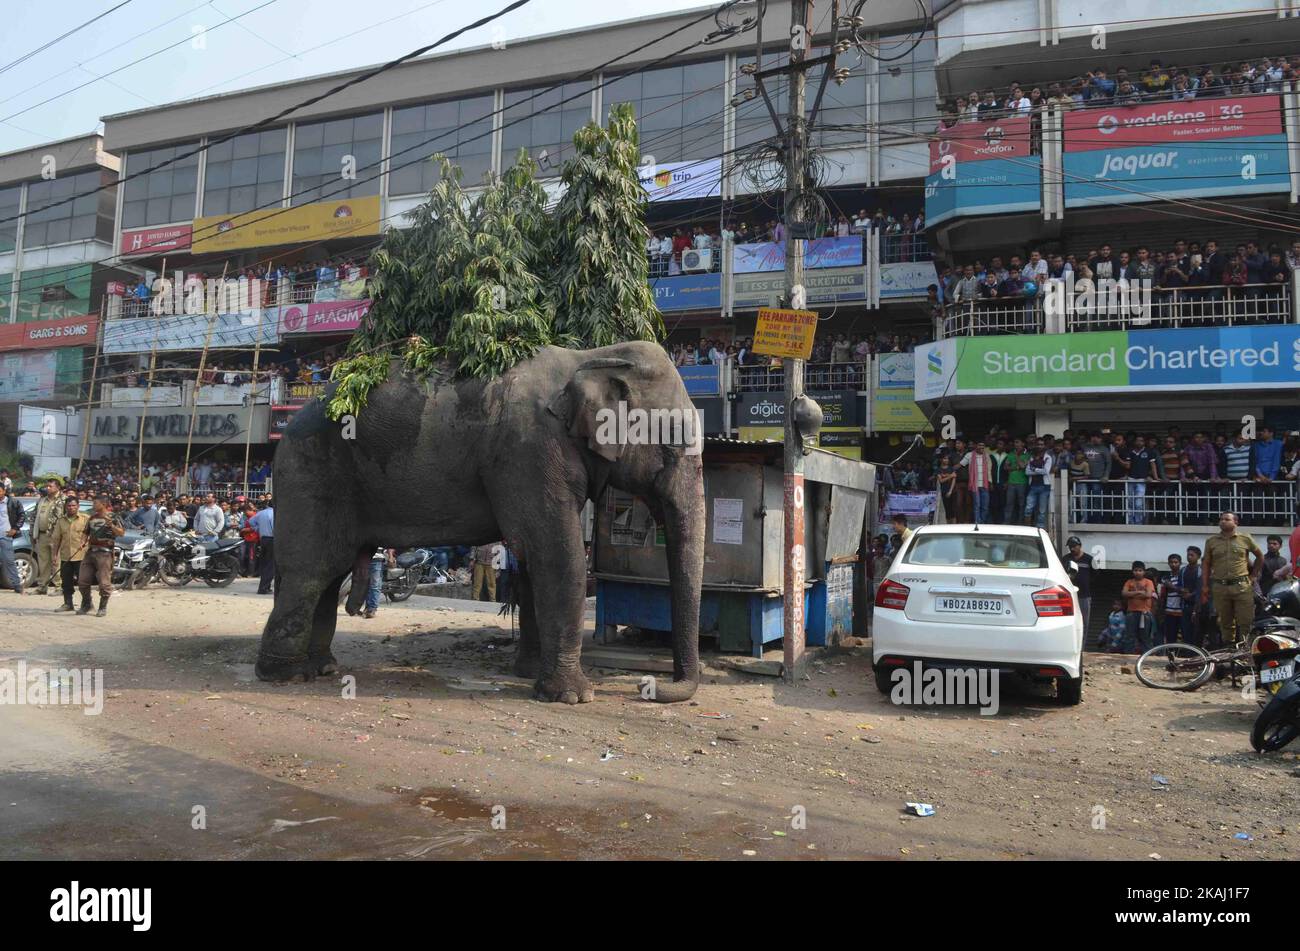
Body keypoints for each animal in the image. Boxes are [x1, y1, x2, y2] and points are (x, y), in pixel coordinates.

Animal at [255, 340, 705, 704]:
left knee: (330, 574)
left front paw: (528, 674)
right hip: (309, 471)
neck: (592, 357)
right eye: (672, 444)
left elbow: (532, 559)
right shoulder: (529, 450)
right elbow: (557, 556)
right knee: (311, 571)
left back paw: (322, 668)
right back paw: (284, 674)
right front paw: (573, 697)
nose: (646, 686)